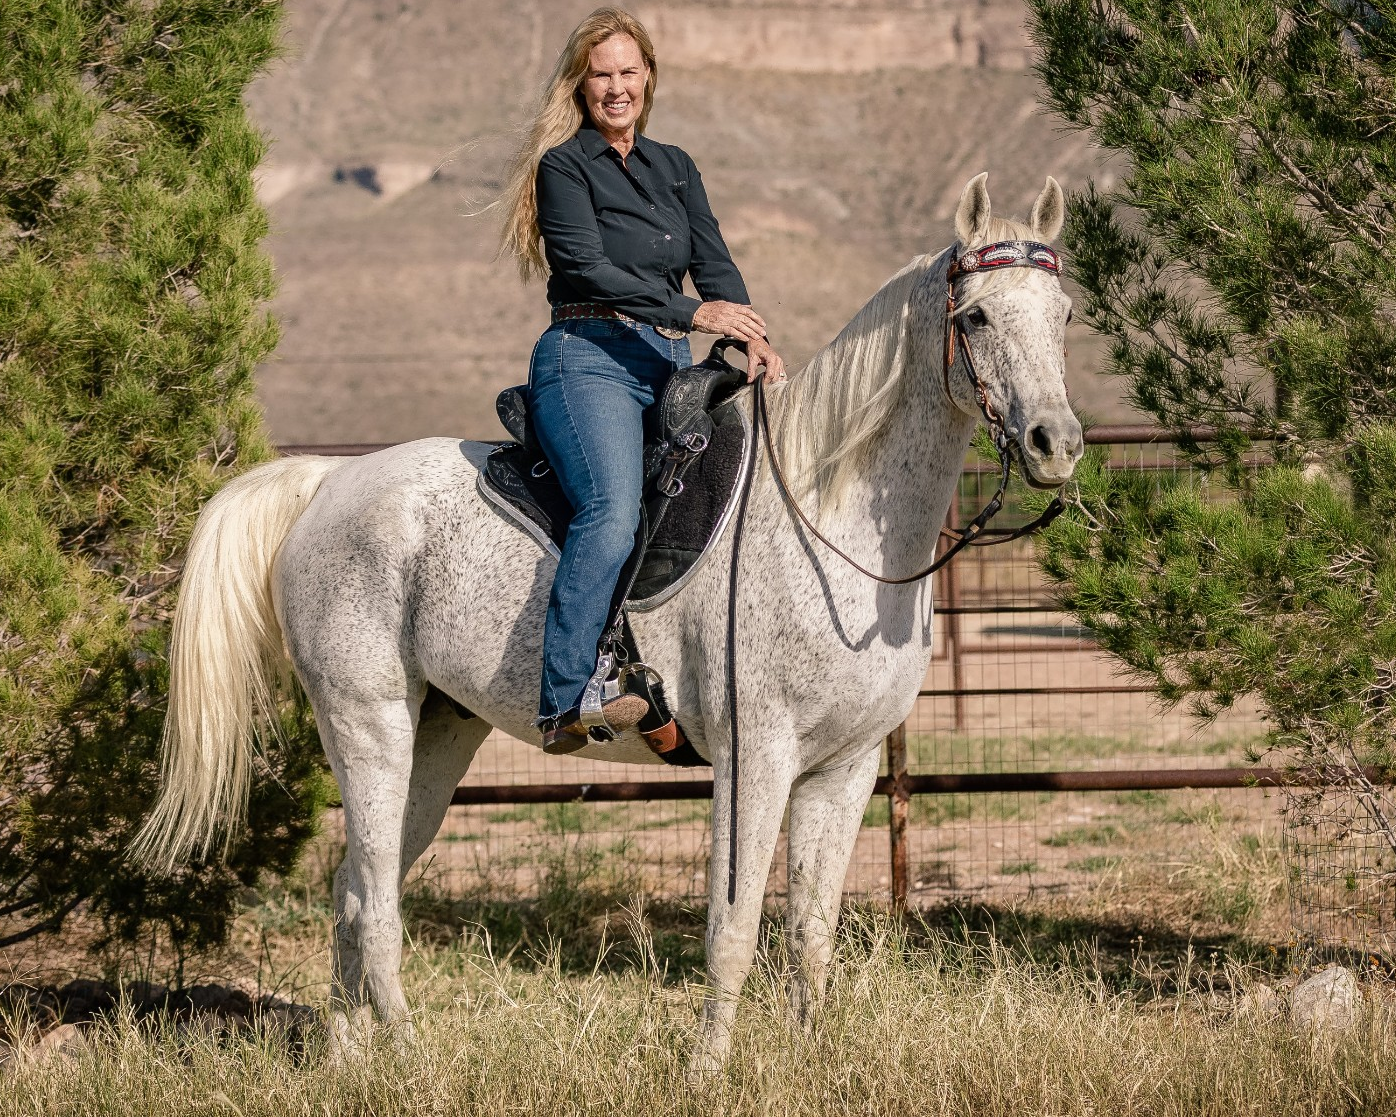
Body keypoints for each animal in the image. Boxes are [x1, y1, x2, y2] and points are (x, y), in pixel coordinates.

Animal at [135, 172, 1083, 1069]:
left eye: (1065, 312)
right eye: (976, 314)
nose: (1056, 443)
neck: (824, 513)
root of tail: (327, 483)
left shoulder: (845, 768)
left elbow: (811, 933)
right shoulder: (754, 756)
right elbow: (733, 928)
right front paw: (707, 1071)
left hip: (437, 734)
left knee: (353, 890)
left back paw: (347, 1060)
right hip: (368, 724)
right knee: (373, 907)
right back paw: (409, 1058)